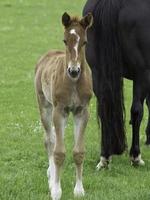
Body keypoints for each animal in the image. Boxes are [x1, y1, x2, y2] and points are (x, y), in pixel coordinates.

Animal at [34, 12, 93, 200]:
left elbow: (78, 152)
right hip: (45, 106)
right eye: (65, 40)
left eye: (85, 42)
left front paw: (79, 190)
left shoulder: (82, 111)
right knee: (50, 140)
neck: (74, 83)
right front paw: (56, 190)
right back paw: (51, 178)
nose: (73, 71)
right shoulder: (59, 110)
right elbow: (59, 152)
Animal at [82, 0, 150, 168]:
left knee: (104, 107)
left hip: (98, 72)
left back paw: (105, 156)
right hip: (143, 73)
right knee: (136, 111)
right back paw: (135, 155)